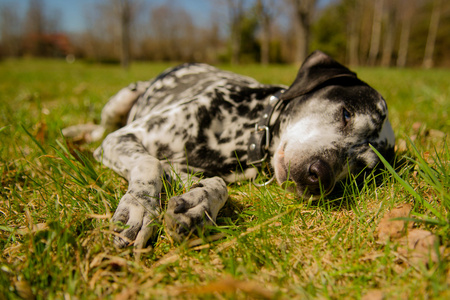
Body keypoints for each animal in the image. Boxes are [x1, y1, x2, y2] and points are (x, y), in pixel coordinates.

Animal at [62, 50, 394, 248]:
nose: (321, 176)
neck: (246, 132)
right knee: (101, 128)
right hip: (123, 100)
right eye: (346, 113)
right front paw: (140, 209)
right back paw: (76, 132)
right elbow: (149, 163)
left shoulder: (184, 169)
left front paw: (198, 205)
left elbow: (216, 184)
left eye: (361, 168)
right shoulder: (125, 137)